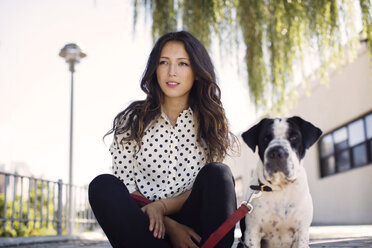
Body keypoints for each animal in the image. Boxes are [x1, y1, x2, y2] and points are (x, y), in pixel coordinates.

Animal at [240, 116, 322, 248]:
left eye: (294, 137)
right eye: (265, 138)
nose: (276, 152)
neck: (281, 188)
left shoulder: (302, 233)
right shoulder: (252, 233)